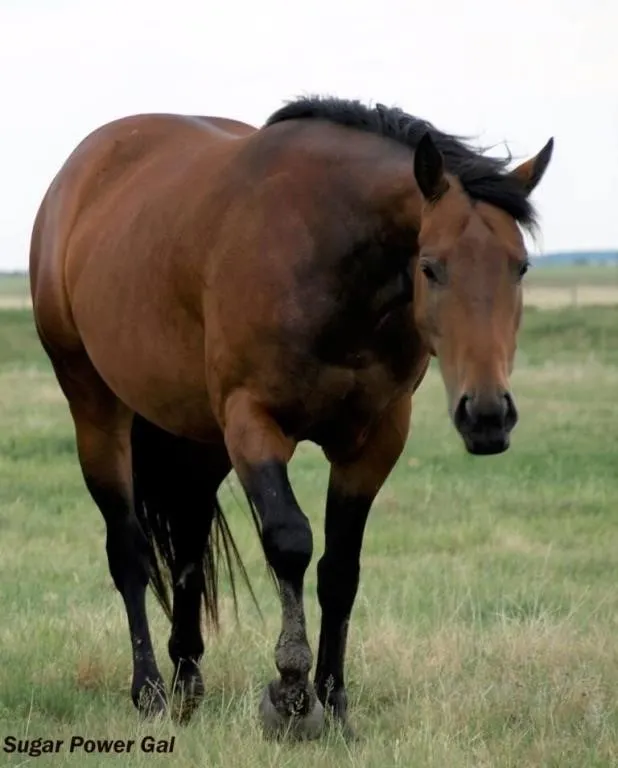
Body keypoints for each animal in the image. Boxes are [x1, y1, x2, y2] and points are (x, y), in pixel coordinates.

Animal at [29, 96, 553, 739]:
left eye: (520, 267)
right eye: (431, 267)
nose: (486, 414)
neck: (331, 262)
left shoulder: (376, 439)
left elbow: (341, 568)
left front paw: (336, 700)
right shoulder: (253, 422)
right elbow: (290, 542)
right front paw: (291, 694)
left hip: (196, 437)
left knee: (187, 543)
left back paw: (187, 681)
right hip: (95, 408)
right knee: (129, 547)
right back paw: (149, 690)